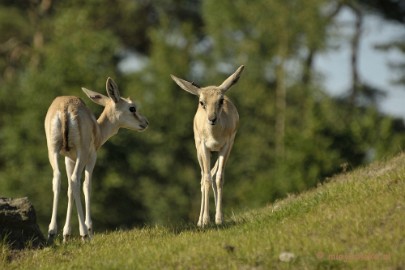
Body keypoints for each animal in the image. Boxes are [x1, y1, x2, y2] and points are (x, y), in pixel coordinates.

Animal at [44, 77, 148, 240]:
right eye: (132, 108)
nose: (145, 123)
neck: (98, 129)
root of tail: (65, 108)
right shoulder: (91, 158)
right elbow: (87, 186)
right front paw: (89, 229)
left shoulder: (69, 159)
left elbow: (70, 191)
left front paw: (66, 234)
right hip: (81, 154)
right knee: (75, 180)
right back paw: (84, 233)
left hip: (53, 151)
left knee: (58, 179)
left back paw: (52, 231)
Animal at [170, 66, 243, 228]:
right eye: (202, 102)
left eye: (221, 100)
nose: (212, 119)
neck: (214, 135)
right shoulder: (203, 147)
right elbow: (207, 179)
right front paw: (205, 220)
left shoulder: (226, 147)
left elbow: (219, 178)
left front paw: (219, 219)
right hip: (200, 152)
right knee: (204, 178)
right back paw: (200, 221)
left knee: (214, 175)